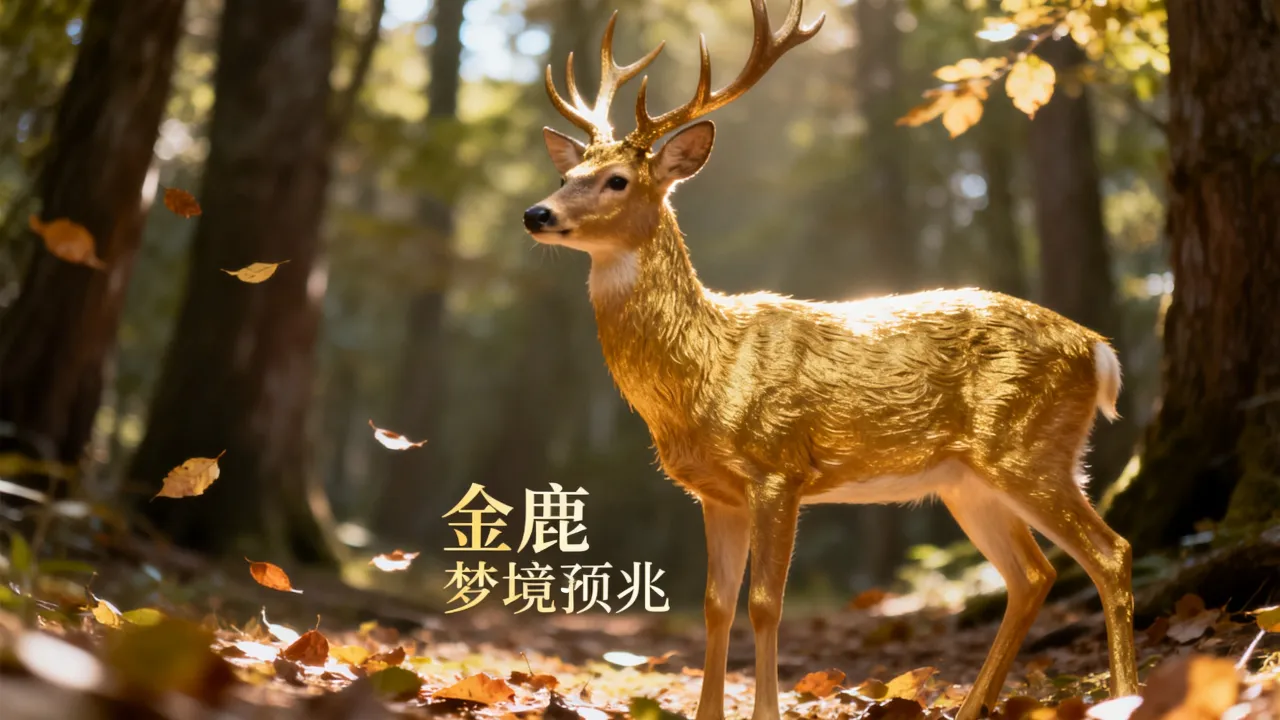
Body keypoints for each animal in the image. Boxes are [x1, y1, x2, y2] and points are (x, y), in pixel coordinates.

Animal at [521, 2, 1138, 718]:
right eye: (565, 176)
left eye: (616, 180)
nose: (536, 212)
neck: (707, 372)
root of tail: (1099, 352)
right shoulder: (715, 492)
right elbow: (714, 606)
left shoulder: (779, 466)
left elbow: (765, 603)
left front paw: (766, 710)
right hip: (968, 479)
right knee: (1033, 574)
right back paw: (971, 705)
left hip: (1029, 446)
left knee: (1110, 553)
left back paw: (1125, 695)